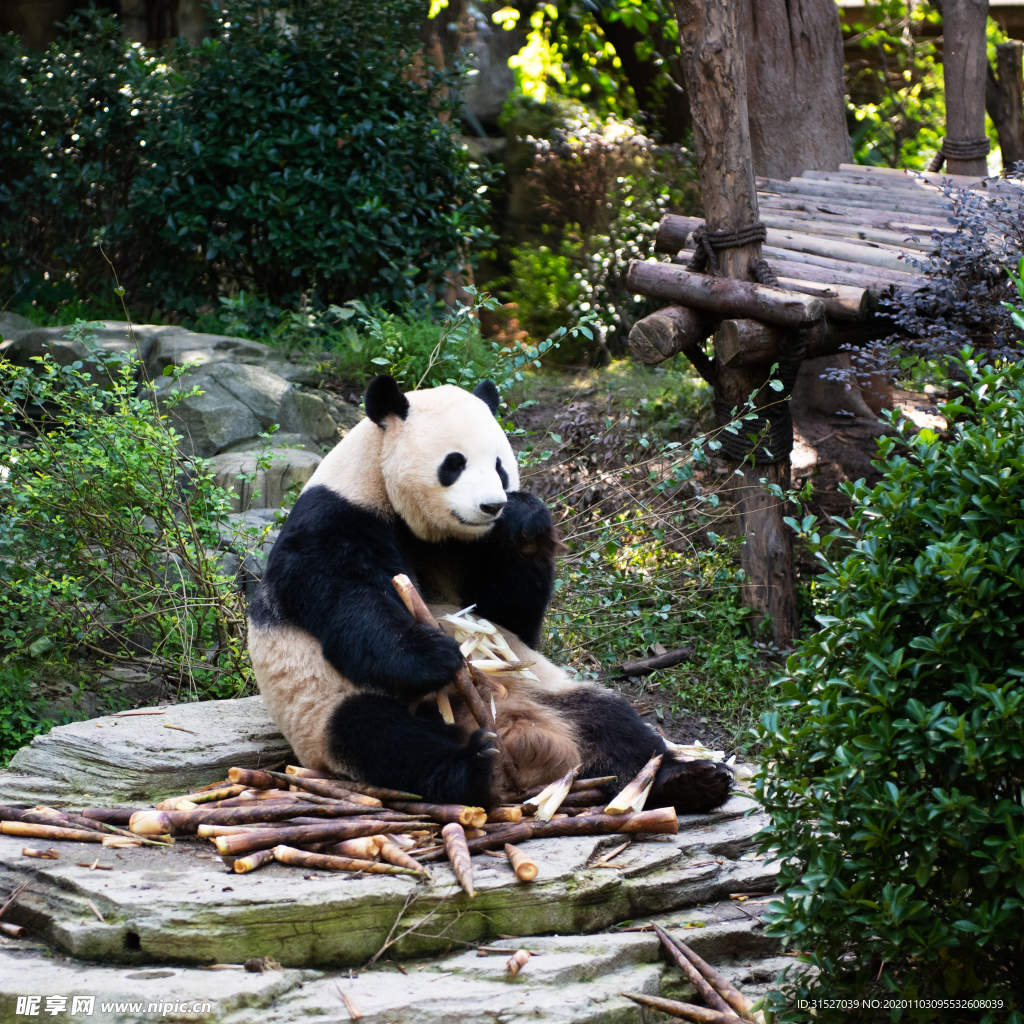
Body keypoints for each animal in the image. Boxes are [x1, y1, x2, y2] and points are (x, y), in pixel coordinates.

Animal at [245, 372, 729, 811]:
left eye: (499, 465)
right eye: (454, 463)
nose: (492, 506)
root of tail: (522, 739)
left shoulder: (474, 549)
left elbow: (509, 615)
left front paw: (525, 519)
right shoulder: (335, 518)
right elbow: (350, 602)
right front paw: (434, 654)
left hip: (546, 689)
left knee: (610, 719)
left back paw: (687, 780)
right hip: (327, 714)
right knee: (381, 737)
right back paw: (474, 768)